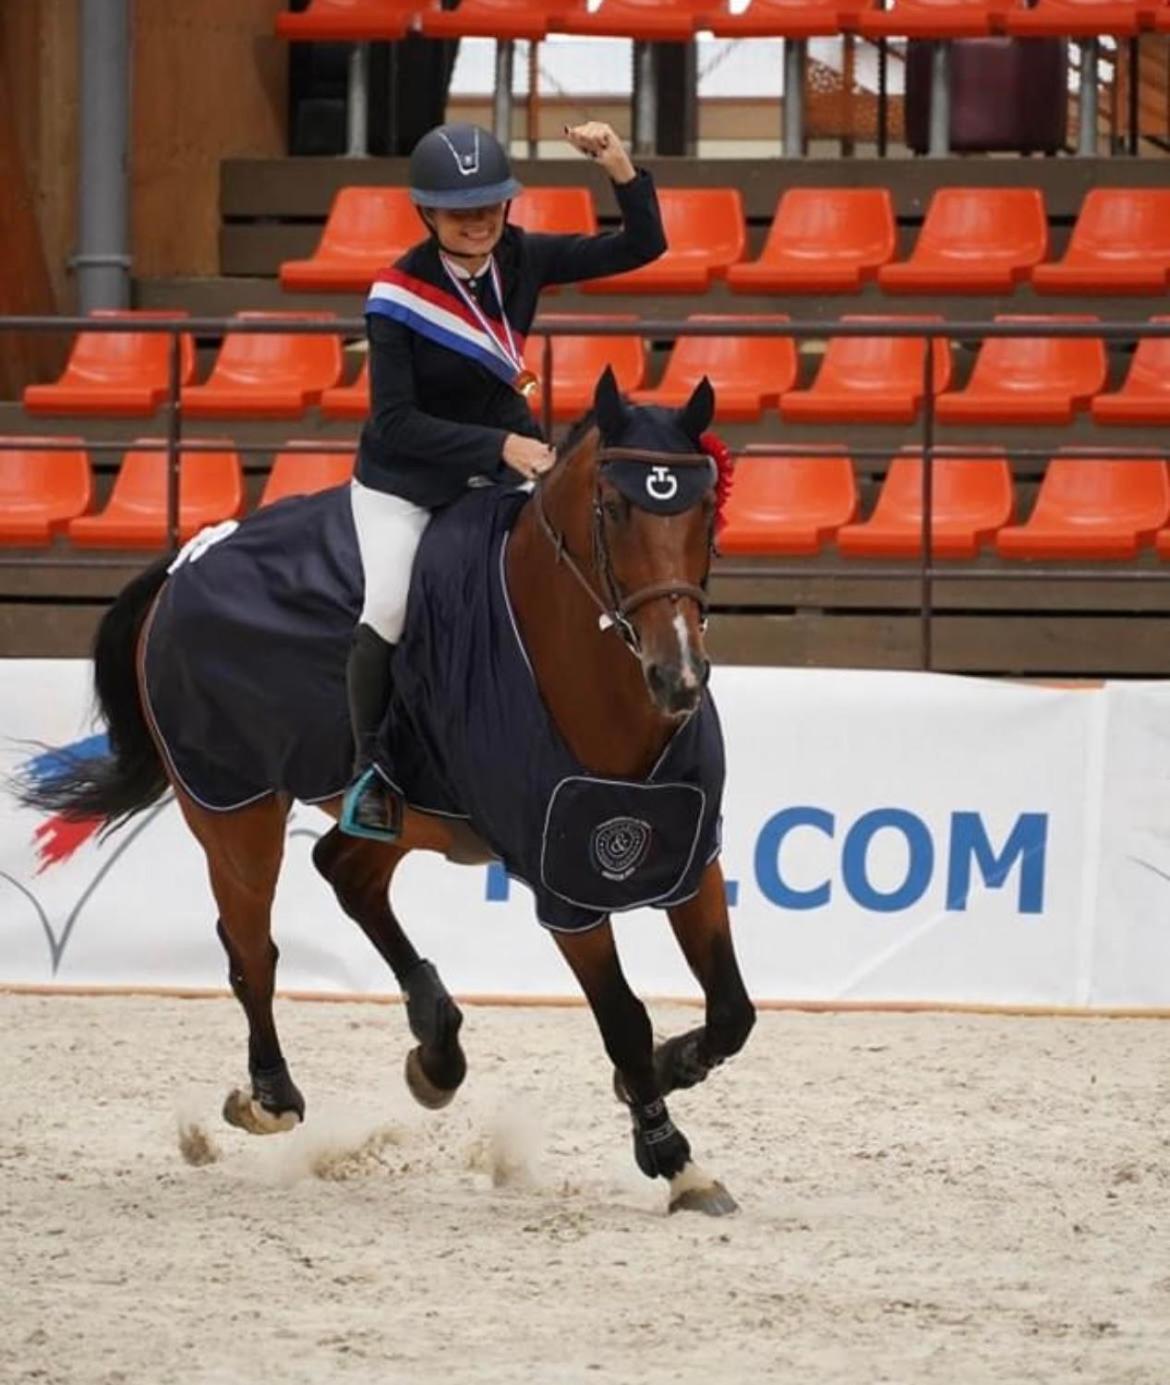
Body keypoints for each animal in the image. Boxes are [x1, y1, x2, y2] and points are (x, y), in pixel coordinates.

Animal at [22, 365, 764, 1213]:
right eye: (613, 508)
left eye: (703, 509)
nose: (678, 677)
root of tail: (187, 560)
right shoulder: (566, 887)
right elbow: (625, 1020)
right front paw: (674, 1158)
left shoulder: (685, 849)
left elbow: (732, 1008)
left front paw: (674, 1069)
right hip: (231, 808)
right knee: (252, 948)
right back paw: (271, 1096)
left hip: (406, 814)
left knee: (345, 871)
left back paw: (435, 1042)